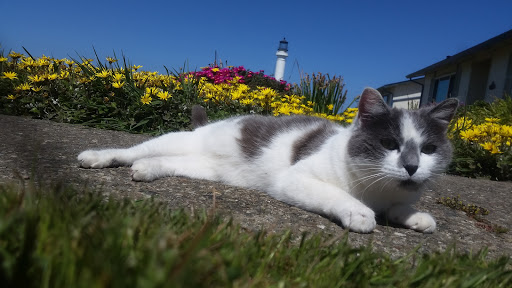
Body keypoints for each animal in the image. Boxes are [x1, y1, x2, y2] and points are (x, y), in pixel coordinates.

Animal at [78, 88, 458, 234]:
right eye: (389, 144)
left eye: (428, 150)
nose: (411, 166)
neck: (377, 189)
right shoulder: (294, 179)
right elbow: (336, 194)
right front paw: (360, 213)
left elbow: (400, 206)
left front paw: (416, 216)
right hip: (178, 140)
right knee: (137, 149)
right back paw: (98, 157)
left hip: (204, 168)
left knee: (164, 160)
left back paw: (147, 170)